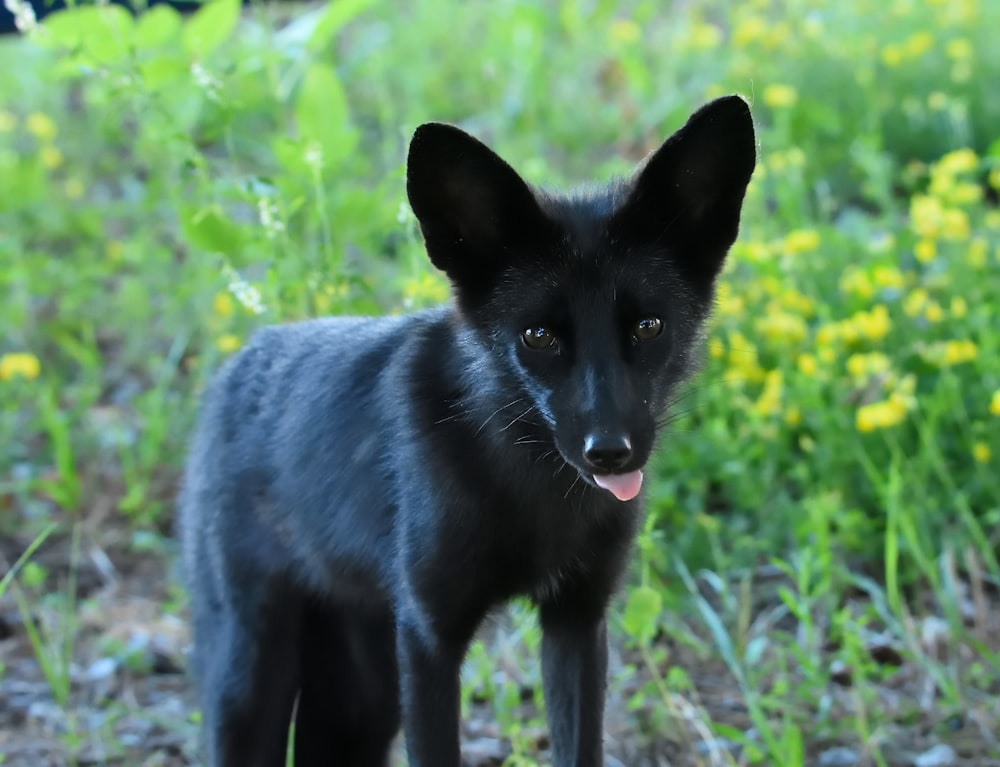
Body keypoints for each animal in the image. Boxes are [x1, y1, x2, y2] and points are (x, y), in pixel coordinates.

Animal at [182, 97, 756, 767]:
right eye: (538, 336)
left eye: (648, 326)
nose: (611, 453)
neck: (534, 495)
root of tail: (237, 366)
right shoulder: (429, 637)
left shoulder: (578, 621)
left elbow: (579, 746)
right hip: (250, 678)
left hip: (363, 699)